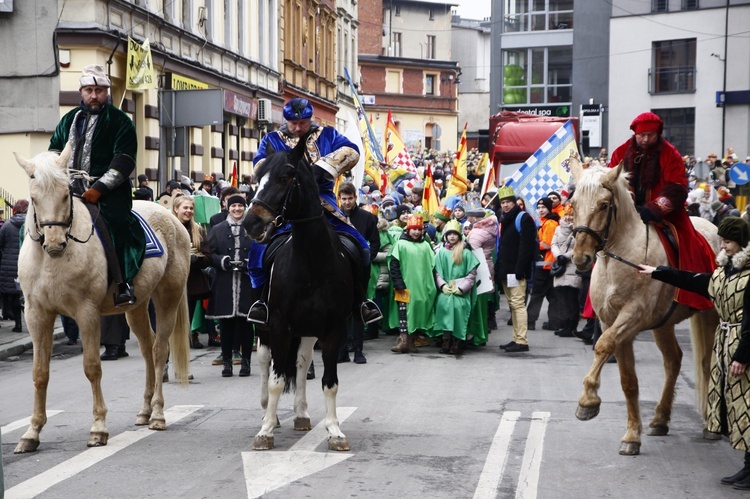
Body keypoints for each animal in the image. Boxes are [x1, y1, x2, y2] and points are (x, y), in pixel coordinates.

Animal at [13, 146, 192, 456]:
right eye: (34, 199)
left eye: (65, 194)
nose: (55, 244)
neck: (52, 262)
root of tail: (169, 215)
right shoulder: (37, 315)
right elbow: (40, 373)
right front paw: (32, 432)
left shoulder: (87, 313)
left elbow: (92, 367)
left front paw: (98, 428)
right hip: (137, 306)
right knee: (147, 348)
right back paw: (144, 411)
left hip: (167, 297)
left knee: (160, 350)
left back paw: (157, 415)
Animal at [244, 133, 356, 454]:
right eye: (256, 178)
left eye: (284, 178)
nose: (250, 223)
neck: (311, 262)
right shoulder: (279, 323)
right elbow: (276, 379)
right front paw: (266, 430)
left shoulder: (333, 327)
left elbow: (329, 381)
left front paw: (334, 431)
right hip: (265, 327)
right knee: (265, 361)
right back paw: (267, 411)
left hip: (307, 329)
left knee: (302, 361)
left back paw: (301, 414)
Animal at [568, 156, 724, 458]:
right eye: (573, 204)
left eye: (603, 205)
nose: (581, 258)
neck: (618, 259)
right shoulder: (612, 322)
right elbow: (628, 381)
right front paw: (632, 435)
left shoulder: (632, 316)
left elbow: (602, 345)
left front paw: (587, 400)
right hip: (663, 324)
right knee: (673, 360)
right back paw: (660, 418)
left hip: (710, 315)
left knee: (706, 363)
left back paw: (711, 426)